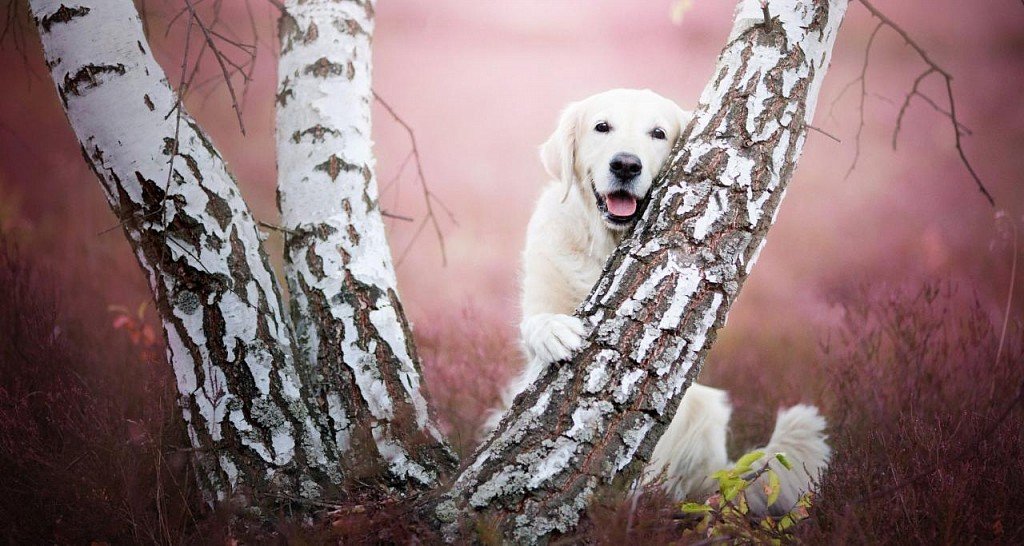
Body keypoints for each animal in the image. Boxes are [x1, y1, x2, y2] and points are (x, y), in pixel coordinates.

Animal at [487, 88, 831, 510]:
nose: (626, 165)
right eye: (602, 126)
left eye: (658, 133)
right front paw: (552, 331)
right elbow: (535, 323)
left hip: (706, 411)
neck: (608, 244)